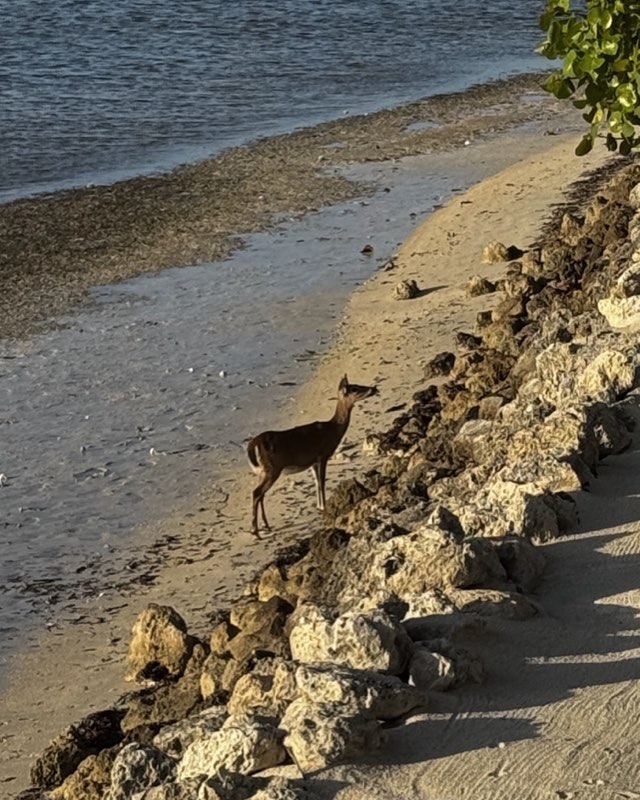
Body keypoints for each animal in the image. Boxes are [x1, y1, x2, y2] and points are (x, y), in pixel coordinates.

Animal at [247, 374, 378, 536]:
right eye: (355, 388)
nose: (374, 388)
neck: (333, 430)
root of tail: (254, 445)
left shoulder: (313, 461)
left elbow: (317, 482)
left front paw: (320, 506)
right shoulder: (323, 454)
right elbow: (321, 481)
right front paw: (324, 506)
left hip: (264, 471)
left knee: (261, 494)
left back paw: (266, 525)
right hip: (272, 468)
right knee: (256, 493)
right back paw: (256, 531)